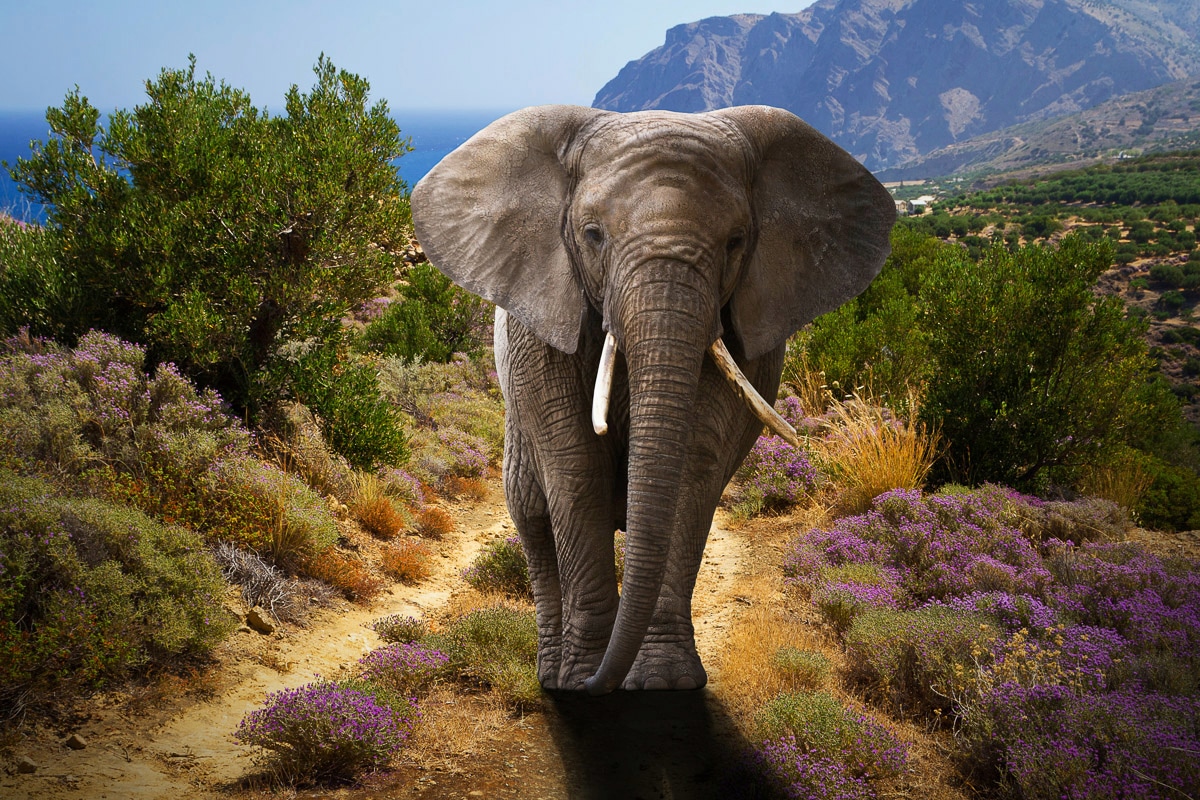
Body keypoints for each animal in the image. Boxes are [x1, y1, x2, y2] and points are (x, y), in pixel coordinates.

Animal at [411, 105, 894, 694]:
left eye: (736, 241)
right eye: (592, 235)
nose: (598, 685)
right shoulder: (539, 326)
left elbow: (692, 466)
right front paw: (582, 680)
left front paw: (664, 682)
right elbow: (575, 468)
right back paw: (552, 676)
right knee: (531, 513)